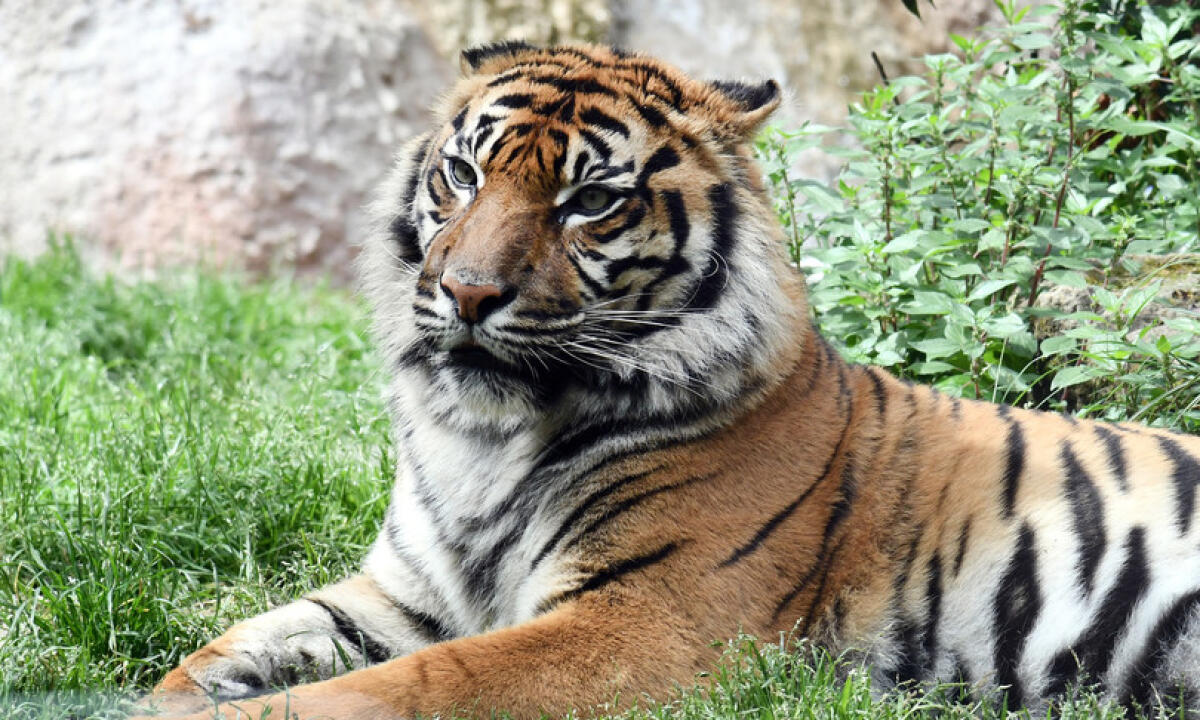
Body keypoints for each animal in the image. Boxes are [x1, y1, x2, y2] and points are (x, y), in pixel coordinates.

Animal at [135, 42, 1200, 720]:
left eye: (589, 201)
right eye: (465, 175)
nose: (466, 292)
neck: (480, 437)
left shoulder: (644, 621)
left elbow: (404, 687)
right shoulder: (404, 593)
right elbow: (217, 652)